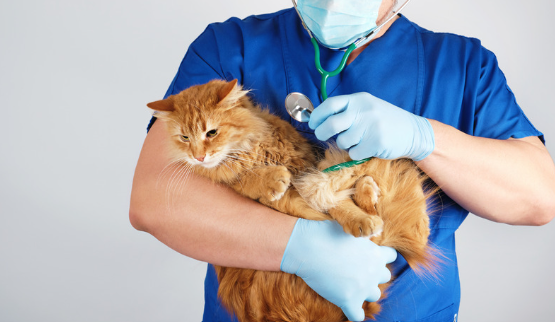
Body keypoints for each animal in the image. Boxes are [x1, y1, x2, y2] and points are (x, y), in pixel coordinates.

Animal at [147, 79, 438, 320]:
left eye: (211, 132)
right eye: (185, 137)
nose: (198, 157)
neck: (251, 151)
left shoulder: (305, 170)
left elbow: (337, 203)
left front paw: (358, 217)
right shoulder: (261, 191)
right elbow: (254, 181)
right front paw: (272, 179)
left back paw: (367, 192)